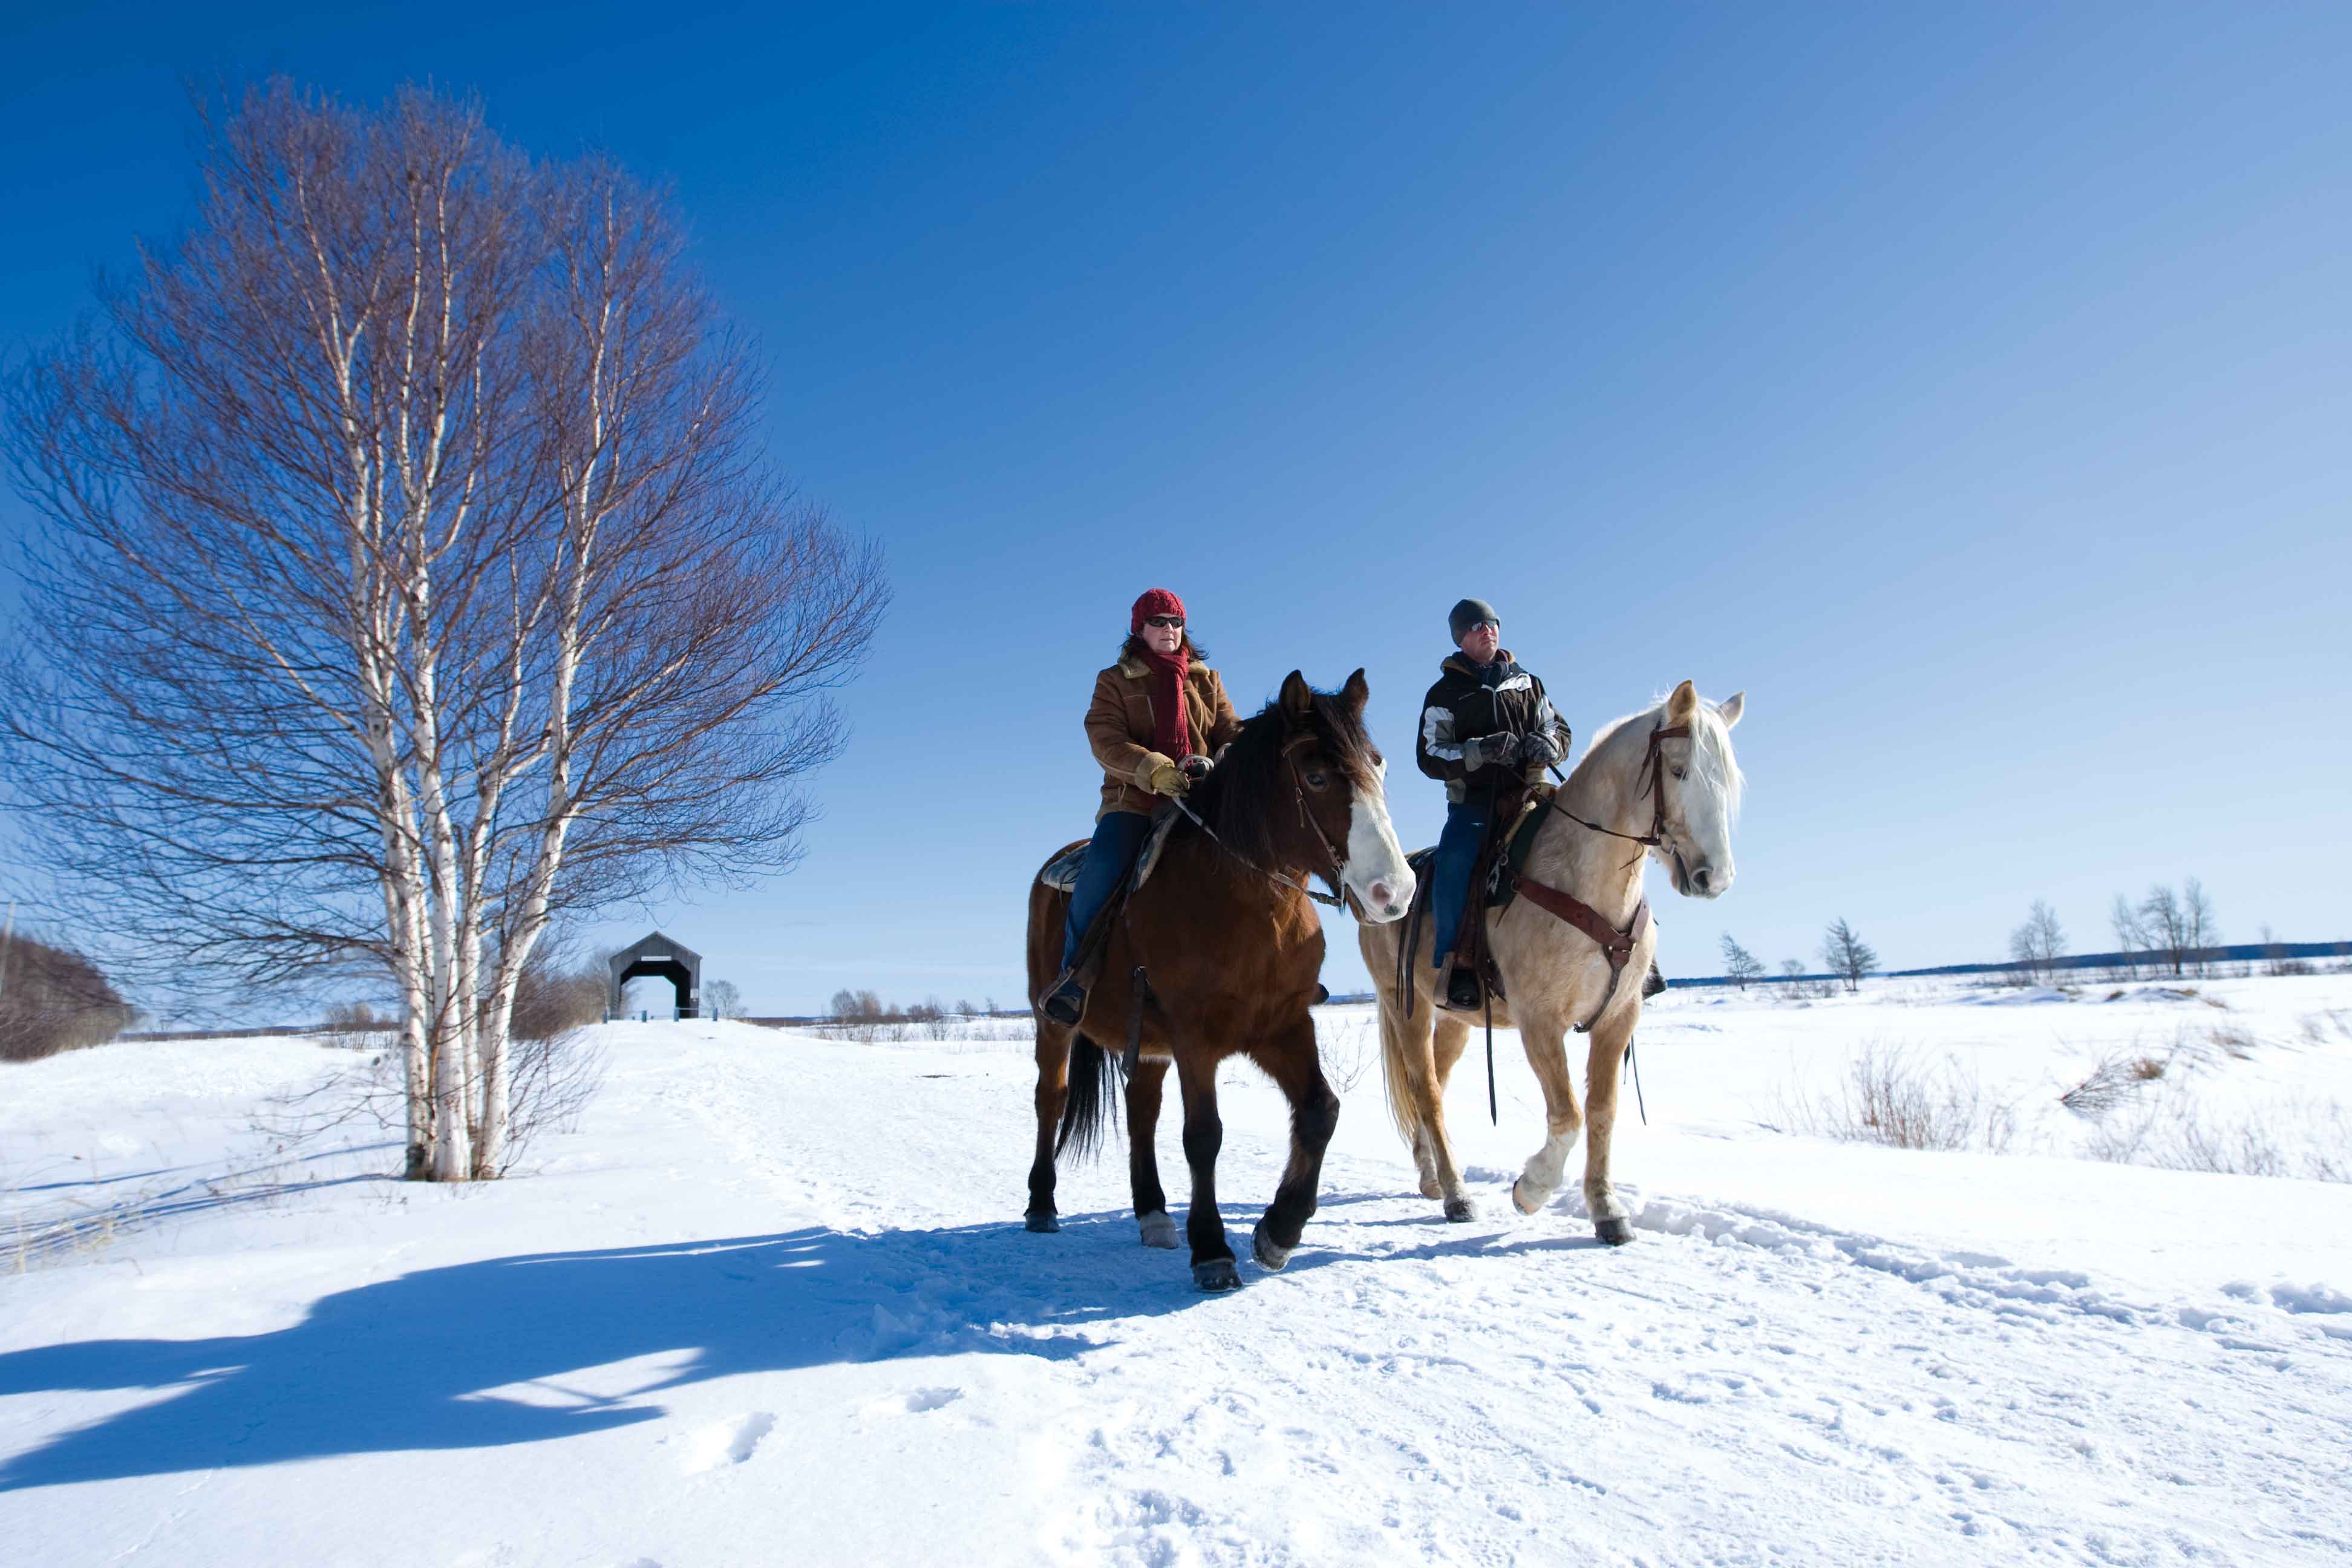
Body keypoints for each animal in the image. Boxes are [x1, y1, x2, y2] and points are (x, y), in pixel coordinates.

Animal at [1025, 667, 1411, 1298]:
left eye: (1378, 766)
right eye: (1316, 776)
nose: (1394, 893)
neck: (1249, 906)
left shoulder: (1283, 1027)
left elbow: (1321, 1111)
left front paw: (1279, 1231)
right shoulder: (1195, 1038)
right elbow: (1203, 1135)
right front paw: (1212, 1250)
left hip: (1148, 1044)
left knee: (1142, 1110)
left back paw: (1154, 1214)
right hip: (1052, 1024)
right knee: (1050, 1100)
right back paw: (1042, 1205)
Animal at [1364, 681, 1749, 1241]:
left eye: (1727, 780)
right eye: (1679, 770)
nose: (1714, 878)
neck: (1584, 884)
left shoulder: (1618, 1018)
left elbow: (1602, 1111)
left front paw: (1607, 1210)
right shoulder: (1540, 1020)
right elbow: (1568, 1114)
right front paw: (1532, 1188)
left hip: (1455, 1018)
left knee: (1434, 1080)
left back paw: (1431, 1175)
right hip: (1405, 1008)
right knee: (1428, 1093)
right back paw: (1458, 1195)